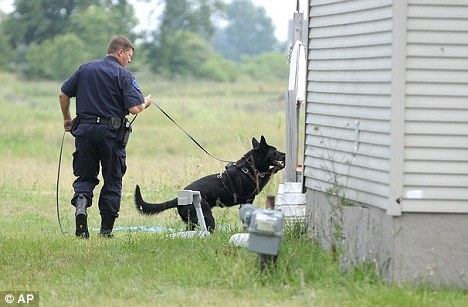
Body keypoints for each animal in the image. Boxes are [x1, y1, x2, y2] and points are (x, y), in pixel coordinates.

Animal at [133, 136, 284, 232]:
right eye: (275, 151)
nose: (285, 155)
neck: (249, 166)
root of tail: (178, 199)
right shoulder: (255, 189)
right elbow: (269, 172)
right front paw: (279, 166)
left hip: (191, 221)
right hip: (207, 217)